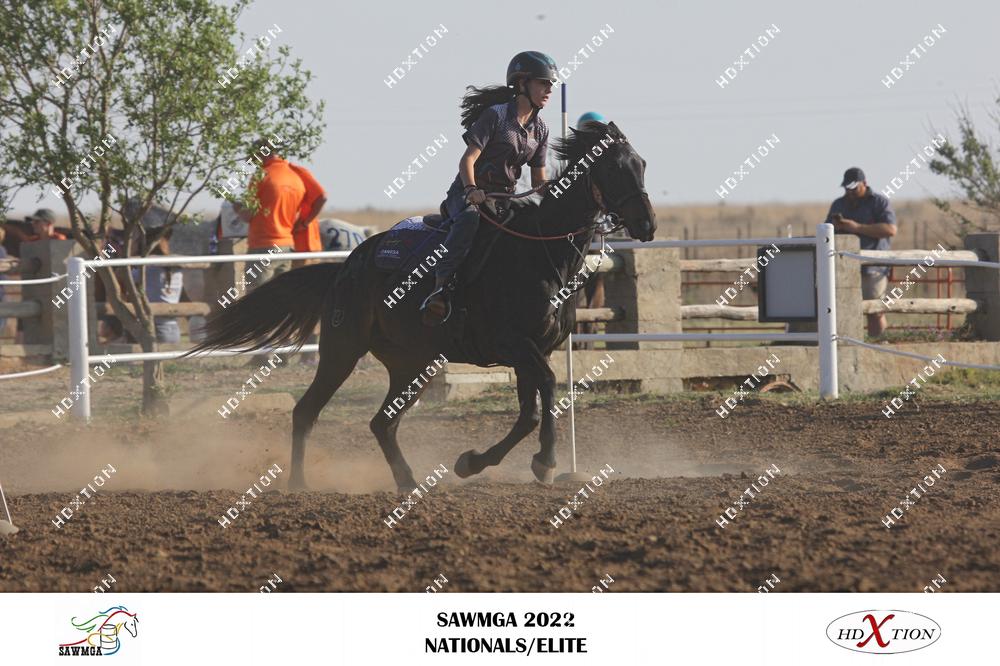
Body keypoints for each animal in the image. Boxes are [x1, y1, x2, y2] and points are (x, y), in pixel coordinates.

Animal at [189, 121, 655, 492]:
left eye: (642, 164)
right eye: (612, 168)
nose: (647, 224)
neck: (539, 254)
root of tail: (345, 268)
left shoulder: (533, 351)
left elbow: (530, 411)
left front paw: (477, 463)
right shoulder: (515, 346)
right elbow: (547, 388)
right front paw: (545, 462)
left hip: (414, 364)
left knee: (382, 423)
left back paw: (408, 480)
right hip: (342, 349)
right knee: (307, 412)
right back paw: (299, 483)